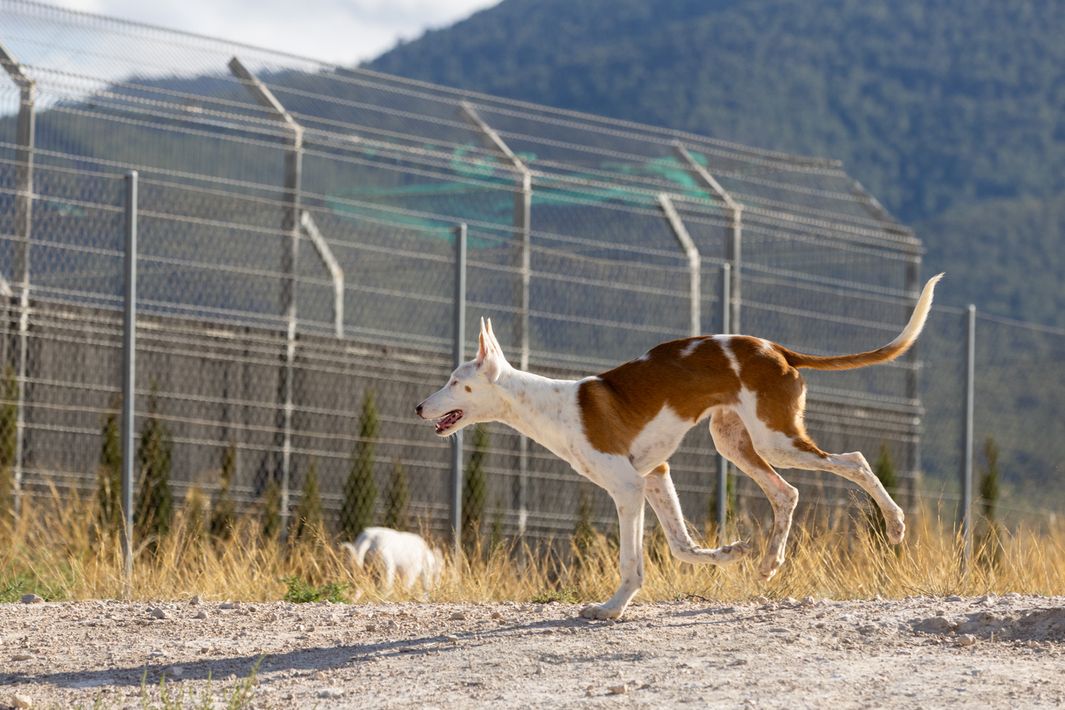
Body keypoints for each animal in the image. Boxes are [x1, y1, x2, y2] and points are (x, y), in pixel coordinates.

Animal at [417, 274, 942, 620]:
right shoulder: (655, 475)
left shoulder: (628, 488)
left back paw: (895, 524)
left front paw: (612, 608)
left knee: (853, 461)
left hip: (776, 440)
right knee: (786, 493)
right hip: (734, 441)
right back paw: (769, 563)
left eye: (454, 381)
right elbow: (683, 546)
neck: (552, 404)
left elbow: (633, 562)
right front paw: (728, 554)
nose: (420, 407)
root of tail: (777, 349)